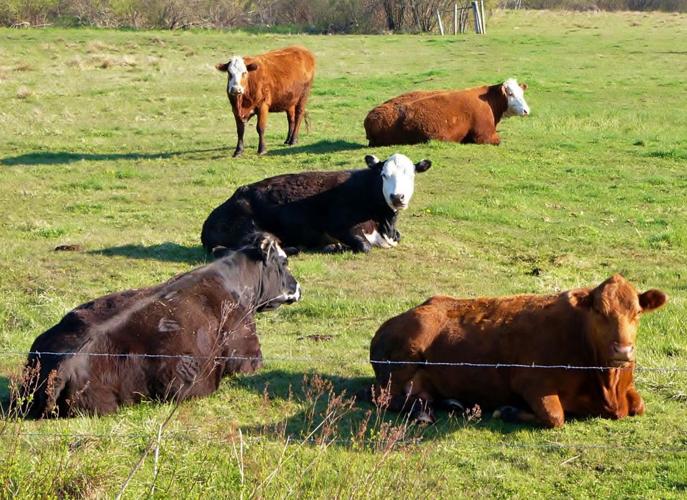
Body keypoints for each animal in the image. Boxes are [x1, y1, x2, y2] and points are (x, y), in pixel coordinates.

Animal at [200, 153, 431, 255]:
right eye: (384, 175)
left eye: (411, 175)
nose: (397, 197)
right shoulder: (338, 225)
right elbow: (364, 246)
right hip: (256, 232)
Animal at [364, 78, 530, 147]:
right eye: (511, 94)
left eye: (522, 93)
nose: (526, 110)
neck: (488, 100)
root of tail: (370, 118)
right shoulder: (485, 136)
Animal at [368, 274, 667, 427]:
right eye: (599, 311)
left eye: (638, 313)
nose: (623, 350)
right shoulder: (531, 381)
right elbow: (555, 417)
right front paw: (508, 411)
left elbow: (640, 405)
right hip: (403, 363)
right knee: (384, 398)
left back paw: (449, 404)